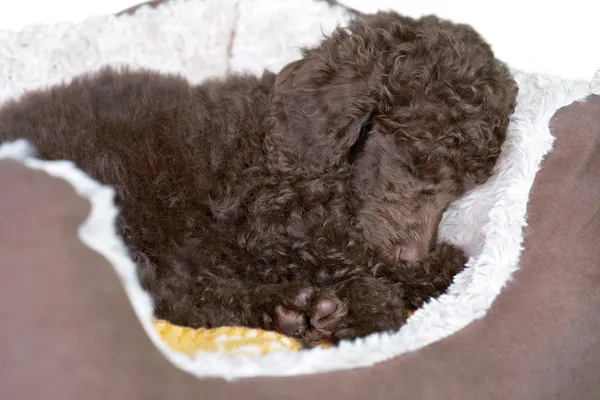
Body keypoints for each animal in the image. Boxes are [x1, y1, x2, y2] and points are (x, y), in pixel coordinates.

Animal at [0, 11, 516, 344]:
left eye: (465, 185)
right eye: (409, 157)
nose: (414, 252)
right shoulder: (272, 222)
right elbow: (353, 257)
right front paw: (396, 291)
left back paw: (298, 311)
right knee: (171, 297)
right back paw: (304, 310)